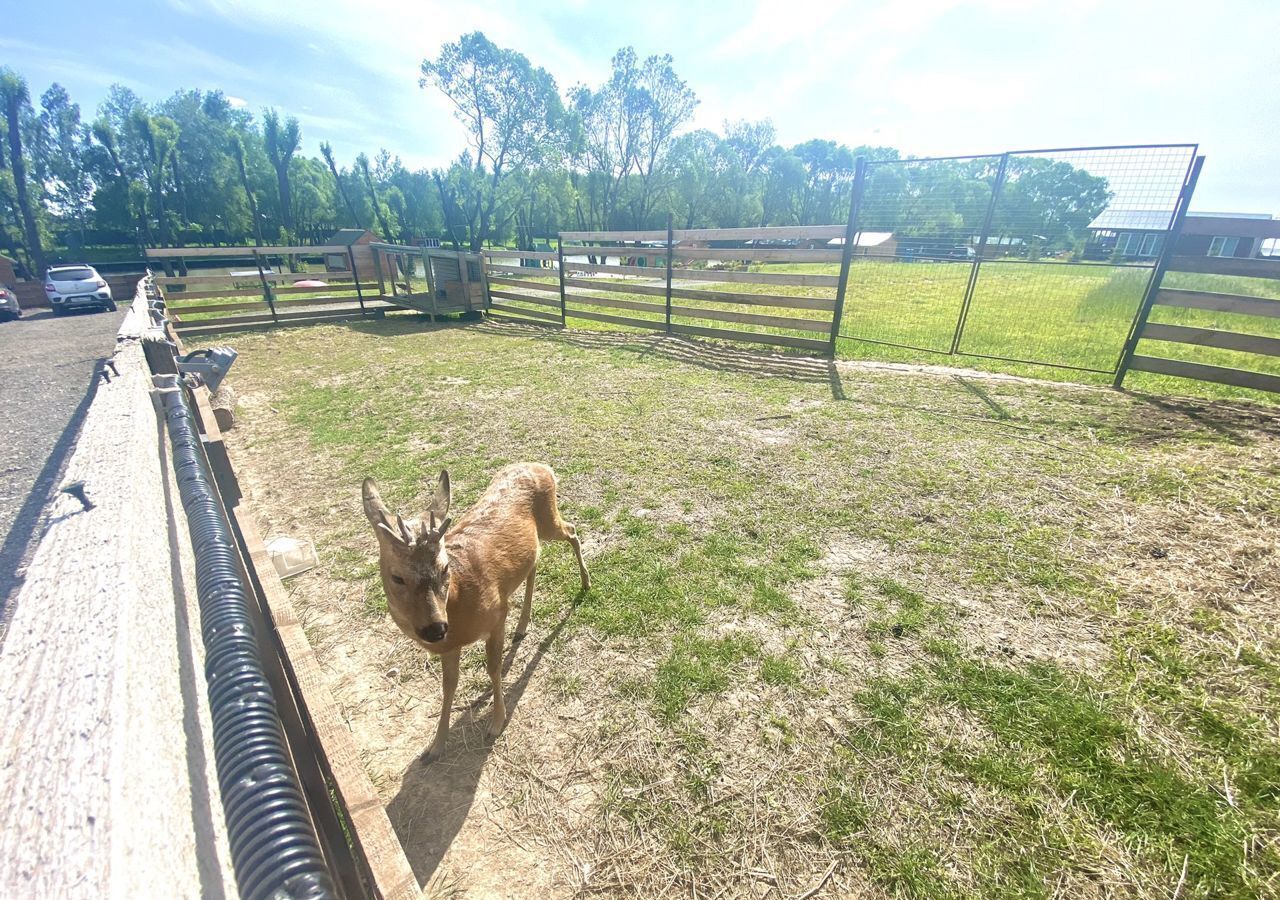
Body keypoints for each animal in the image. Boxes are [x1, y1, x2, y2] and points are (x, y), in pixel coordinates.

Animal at [363, 466, 591, 757]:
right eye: (397, 577)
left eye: (445, 567)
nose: (435, 628)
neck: (458, 603)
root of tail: (542, 466)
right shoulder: (449, 648)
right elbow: (448, 687)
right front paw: (435, 747)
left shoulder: (497, 614)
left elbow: (493, 669)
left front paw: (496, 723)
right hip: (535, 539)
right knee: (535, 561)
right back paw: (522, 626)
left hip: (550, 519)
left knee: (571, 530)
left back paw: (585, 582)